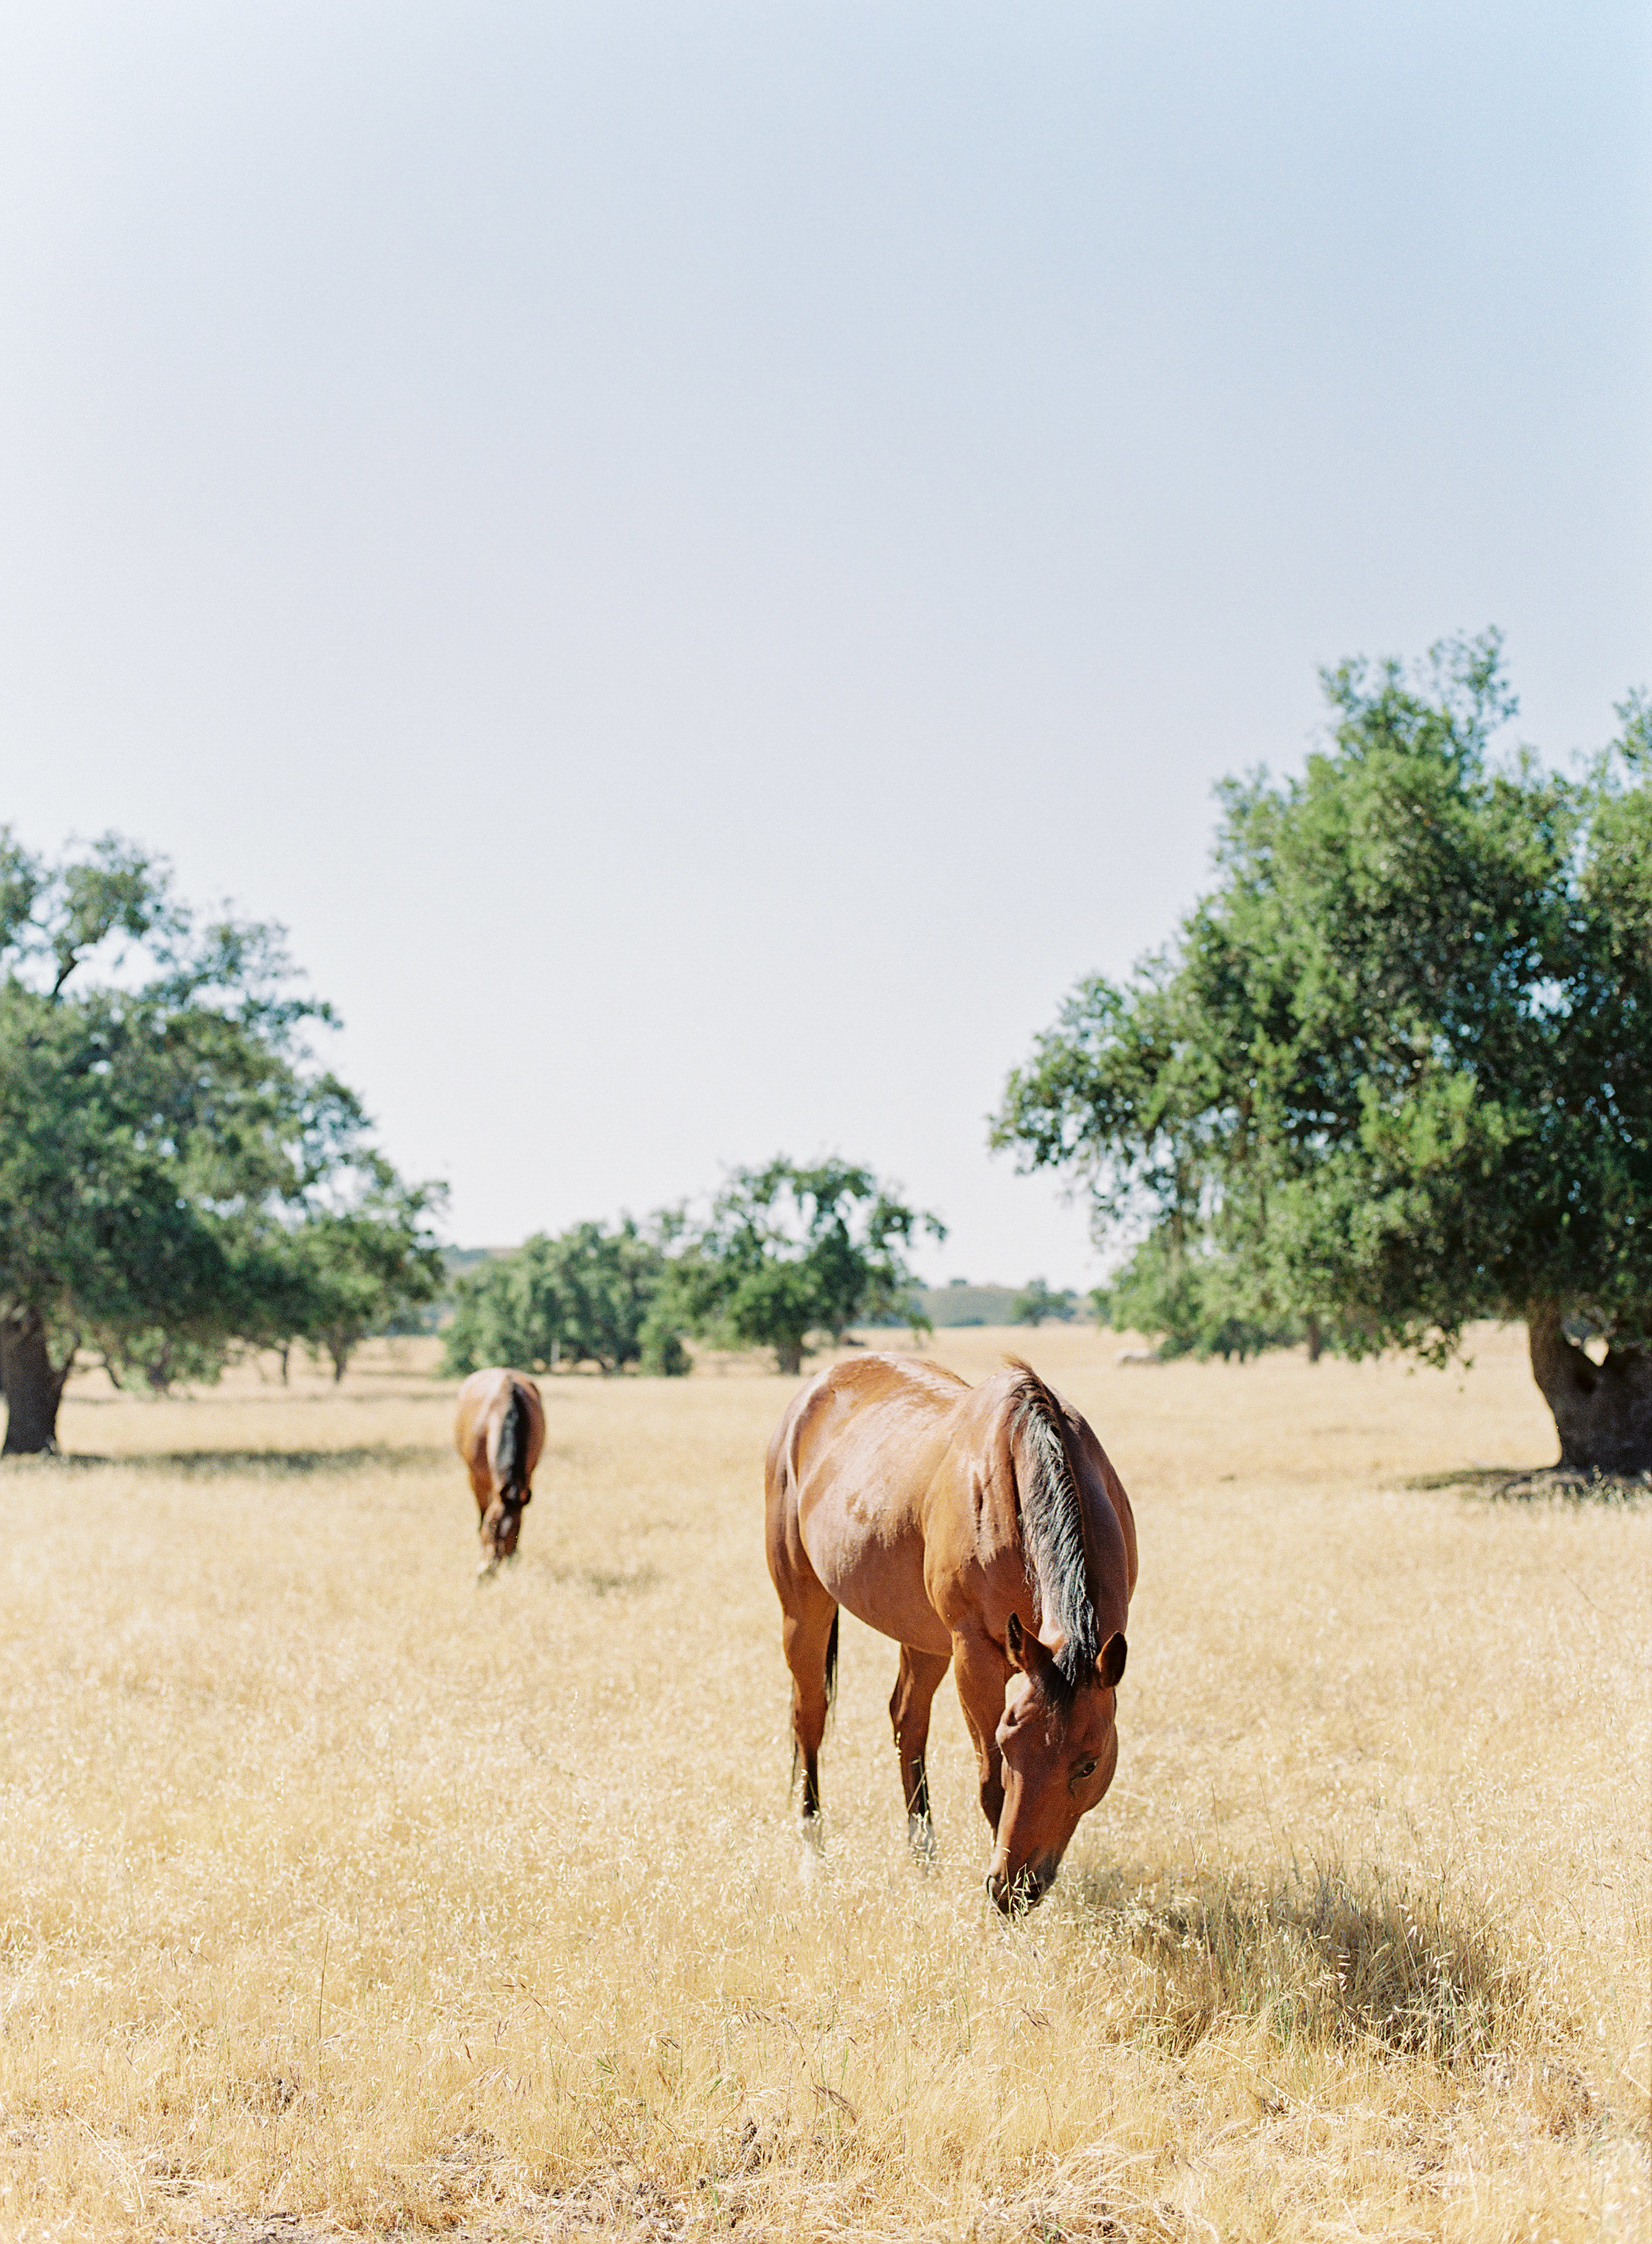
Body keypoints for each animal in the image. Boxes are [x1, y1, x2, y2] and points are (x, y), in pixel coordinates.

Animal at [451, 1364, 547, 1580]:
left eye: (516, 1528)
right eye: (491, 1524)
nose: (489, 1570)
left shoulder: (528, 1477)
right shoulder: (476, 1480)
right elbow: (481, 1513)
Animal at [763, 1346, 1135, 1912]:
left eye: (1088, 1765)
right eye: (1009, 1743)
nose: (1015, 1888)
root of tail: (812, 1392)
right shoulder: (974, 1656)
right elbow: (990, 1785)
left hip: (923, 1636)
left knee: (906, 1719)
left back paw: (923, 1856)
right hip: (803, 1608)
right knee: (810, 1718)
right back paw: (813, 1856)